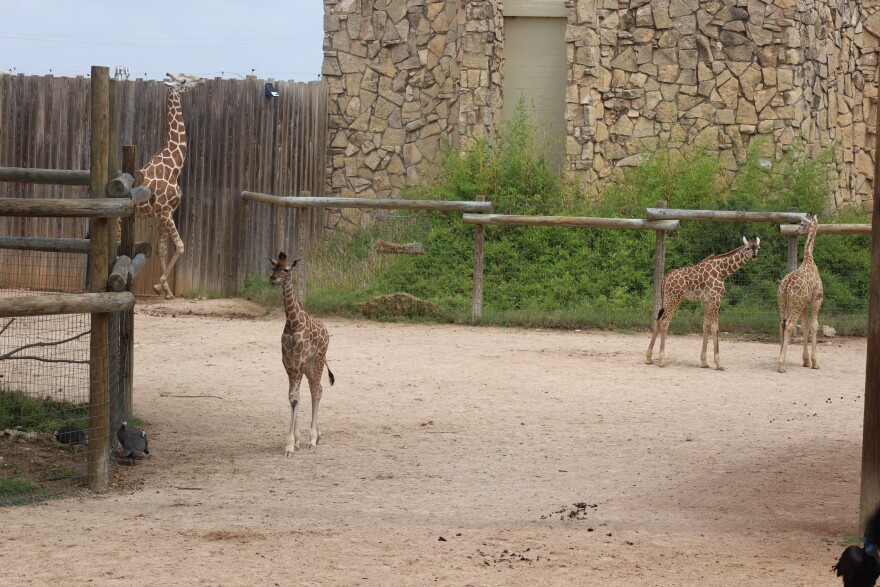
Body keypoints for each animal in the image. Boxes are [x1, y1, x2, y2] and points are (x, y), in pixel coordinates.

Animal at [119, 72, 204, 299]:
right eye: (183, 80)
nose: (201, 80)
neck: (174, 166)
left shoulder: (166, 213)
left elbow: (162, 249)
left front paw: (167, 291)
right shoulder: (165, 212)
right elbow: (181, 246)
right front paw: (159, 285)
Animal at [268, 251, 335, 457]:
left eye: (286, 269)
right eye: (273, 267)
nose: (272, 279)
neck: (293, 322)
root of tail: (327, 331)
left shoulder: (298, 360)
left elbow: (296, 398)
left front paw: (290, 445)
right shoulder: (288, 361)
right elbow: (292, 396)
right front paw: (295, 441)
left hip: (317, 359)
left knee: (317, 389)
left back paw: (313, 439)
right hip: (308, 365)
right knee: (316, 388)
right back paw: (317, 436)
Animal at [645, 237, 761, 370]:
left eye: (758, 248)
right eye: (747, 248)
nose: (754, 256)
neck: (722, 271)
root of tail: (664, 280)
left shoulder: (708, 301)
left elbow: (706, 325)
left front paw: (704, 362)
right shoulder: (716, 298)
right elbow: (715, 327)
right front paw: (719, 363)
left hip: (667, 299)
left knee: (658, 319)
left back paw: (648, 358)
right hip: (675, 298)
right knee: (665, 321)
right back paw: (662, 360)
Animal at [777, 213, 823, 373]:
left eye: (802, 224)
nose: (797, 230)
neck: (809, 259)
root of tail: (786, 285)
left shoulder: (804, 304)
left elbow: (804, 326)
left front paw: (806, 361)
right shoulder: (816, 299)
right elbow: (814, 325)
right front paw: (814, 362)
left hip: (783, 302)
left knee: (782, 323)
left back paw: (780, 357)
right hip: (796, 304)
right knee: (790, 324)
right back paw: (781, 365)